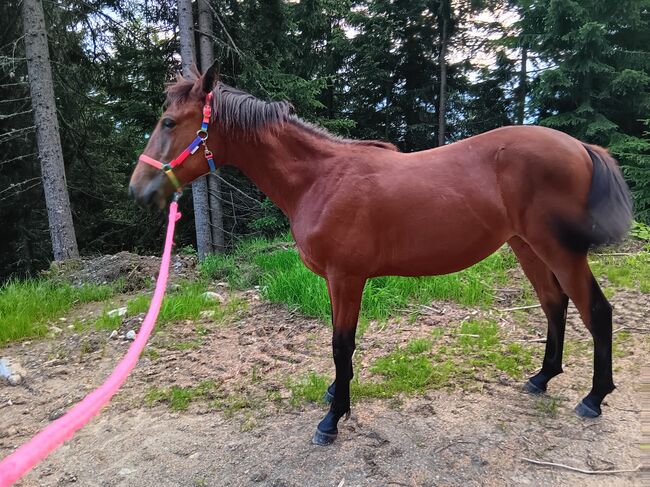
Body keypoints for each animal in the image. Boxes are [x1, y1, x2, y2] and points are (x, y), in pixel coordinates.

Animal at [126, 65, 628, 446]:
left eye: (169, 122)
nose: (138, 190)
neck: (320, 179)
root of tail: (580, 146)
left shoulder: (346, 277)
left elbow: (341, 344)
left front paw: (333, 419)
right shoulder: (335, 281)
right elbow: (337, 343)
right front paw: (335, 392)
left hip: (559, 250)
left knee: (596, 311)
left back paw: (594, 397)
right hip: (526, 247)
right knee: (554, 304)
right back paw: (543, 378)